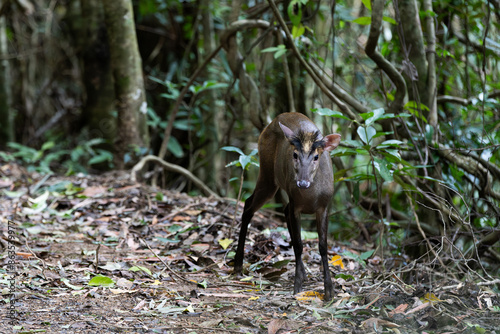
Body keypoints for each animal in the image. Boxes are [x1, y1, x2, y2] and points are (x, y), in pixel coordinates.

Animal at [234, 111, 340, 300]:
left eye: (316, 157)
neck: (310, 197)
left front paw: (329, 290)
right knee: (248, 205)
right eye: (295, 155)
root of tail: (273, 122)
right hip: (267, 172)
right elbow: (298, 243)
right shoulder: (296, 205)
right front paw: (297, 286)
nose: (302, 183)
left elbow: (323, 246)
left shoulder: (324, 207)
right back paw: (238, 265)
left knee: (280, 209)